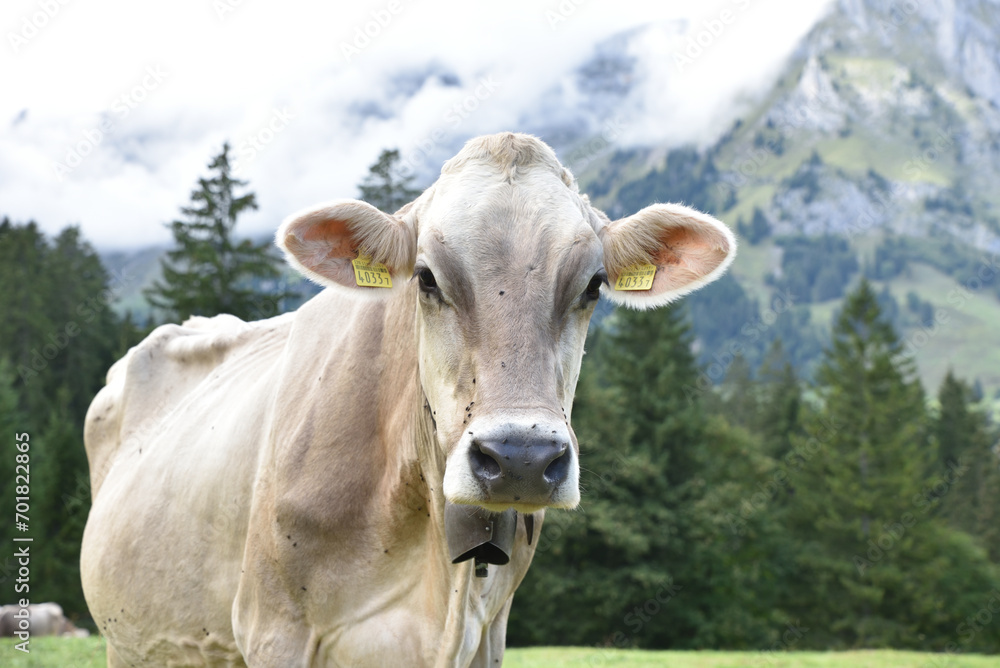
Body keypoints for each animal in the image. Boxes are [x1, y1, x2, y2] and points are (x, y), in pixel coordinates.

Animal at [80, 133, 736, 664]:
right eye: (426, 278)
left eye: (594, 285)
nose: (520, 459)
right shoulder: (274, 629)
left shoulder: (488, 633)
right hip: (129, 643)